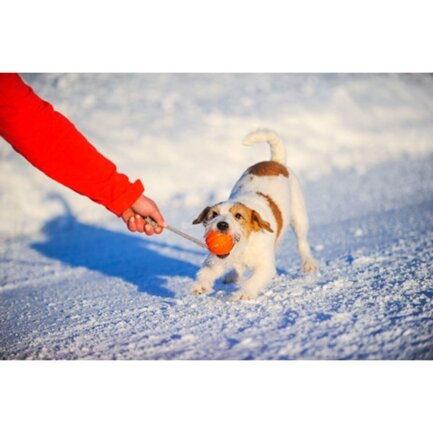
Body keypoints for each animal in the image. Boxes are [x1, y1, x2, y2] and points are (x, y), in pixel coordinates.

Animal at [191, 128, 316, 298]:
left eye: (238, 216)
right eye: (214, 214)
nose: (222, 224)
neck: (243, 247)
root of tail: (275, 161)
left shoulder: (265, 266)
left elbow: (254, 280)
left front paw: (243, 294)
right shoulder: (215, 259)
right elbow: (207, 271)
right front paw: (201, 285)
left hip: (299, 217)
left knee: (302, 242)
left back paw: (308, 263)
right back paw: (232, 275)